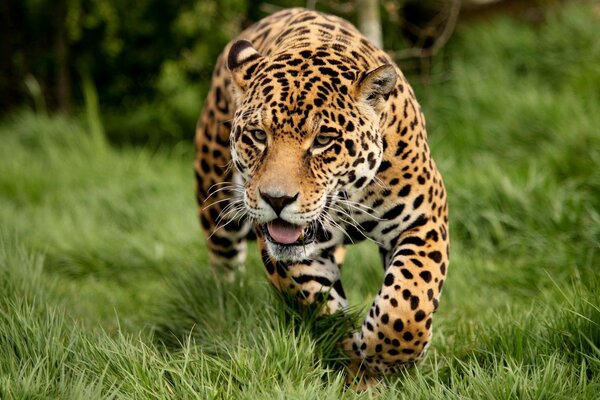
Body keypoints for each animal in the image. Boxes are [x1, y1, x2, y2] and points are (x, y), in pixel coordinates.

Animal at [193, 7, 450, 380]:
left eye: (323, 141)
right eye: (258, 135)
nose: (276, 200)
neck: (348, 197)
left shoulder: (424, 218)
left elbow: (408, 302)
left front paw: (387, 359)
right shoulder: (288, 253)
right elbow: (320, 305)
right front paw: (353, 356)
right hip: (216, 205)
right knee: (224, 266)